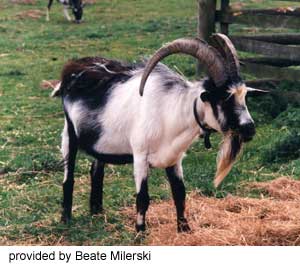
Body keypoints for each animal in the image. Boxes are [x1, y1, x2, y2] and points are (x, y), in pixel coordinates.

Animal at [52, 34, 258, 232]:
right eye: (224, 98)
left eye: (244, 96)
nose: (249, 128)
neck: (169, 113)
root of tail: (72, 69)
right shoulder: (140, 156)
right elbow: (143, 197)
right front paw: (140, 230)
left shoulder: (174, 158)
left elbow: (179, 193)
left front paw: (184, 229)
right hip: (69, 134)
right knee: (68, 178)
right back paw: (66, 219)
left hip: (101, 144)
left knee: (96, 170)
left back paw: (97, 212)